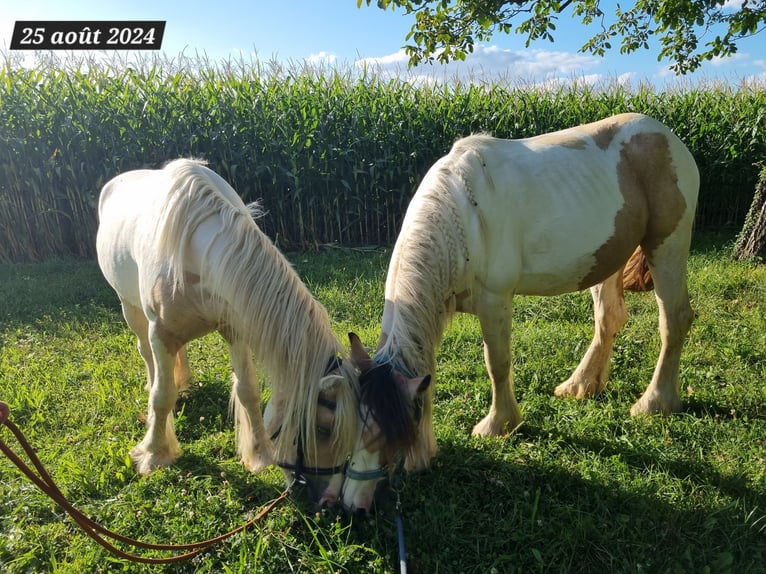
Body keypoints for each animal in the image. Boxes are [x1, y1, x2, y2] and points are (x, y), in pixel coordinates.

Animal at [97, 160, 360, 506]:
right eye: (323, 429)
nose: (329, 500)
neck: (193, 251)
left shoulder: (235, 328)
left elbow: (248, 390)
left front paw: (260, 454)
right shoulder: (161, 333)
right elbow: (162, 396)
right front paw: (153, 454)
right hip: (131, 309)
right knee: (147, 357)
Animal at [344, 115, 704, 510]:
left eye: (390, 433)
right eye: (356, 421)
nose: (351, 503)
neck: (462, 215)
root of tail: (666, 136)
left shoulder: (495, 299)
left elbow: (497, 364)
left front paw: (498, 424)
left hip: (667, 247)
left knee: (674, 320)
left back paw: (655, 403)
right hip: (609, 259)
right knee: (609, 319)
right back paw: (580, 386)